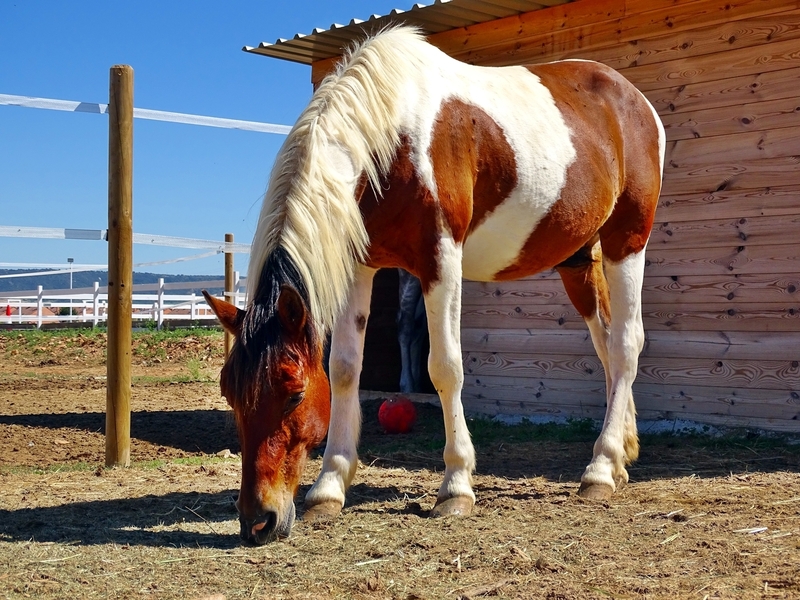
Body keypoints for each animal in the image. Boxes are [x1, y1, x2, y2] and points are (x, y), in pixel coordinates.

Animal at [204, 26, 665, 545]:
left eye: (295, 393)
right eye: (229, 393)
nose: (256, 520)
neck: (391, 134)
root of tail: (635, 101)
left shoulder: (441, 260)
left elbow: (445, 368)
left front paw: (456, 486)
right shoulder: (360, 266)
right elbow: (344, 368)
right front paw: (329, 488)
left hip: (627, 242)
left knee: (626, 344)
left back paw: (600, 470)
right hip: (578, 260)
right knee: (607, 345)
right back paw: (621, 454)